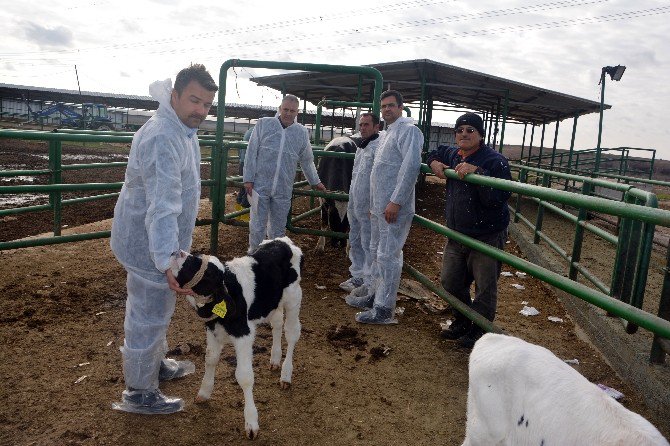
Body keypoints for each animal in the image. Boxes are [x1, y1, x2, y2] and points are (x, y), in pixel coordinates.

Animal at [169, 237, 306, 440]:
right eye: (196, 255)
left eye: (208, 273)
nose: (177, 252)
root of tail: (284, 241)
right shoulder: (212, 329)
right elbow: (210, 359)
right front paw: (204, 392)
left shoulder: (244, 334)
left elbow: (245, 376)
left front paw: (251, 422)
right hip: (272, 301)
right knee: (277, 323)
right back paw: (274, 359)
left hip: (294, 296)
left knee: (292, 332)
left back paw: (286, 374)